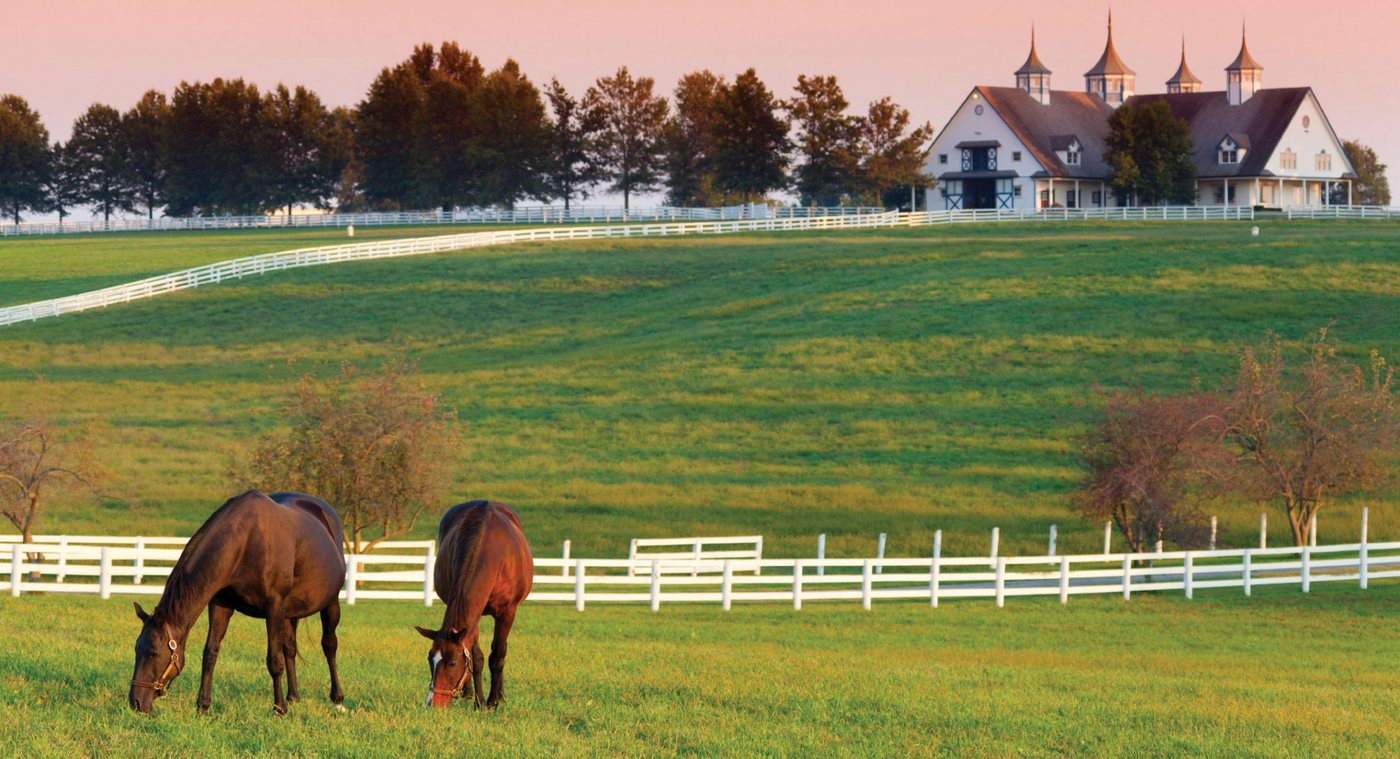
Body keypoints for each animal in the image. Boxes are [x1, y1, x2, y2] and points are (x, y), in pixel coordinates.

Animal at [128, 490, 347, 716]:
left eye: (154, 653)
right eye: (136, 649)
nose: (136, 702)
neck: (245, 543)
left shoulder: (274, 607)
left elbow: (274, 660)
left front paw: (279, 709)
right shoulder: (220, 604)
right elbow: (210, 652)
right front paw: (203, 706)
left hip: (330, 604)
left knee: (329, 645)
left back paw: (337, 699)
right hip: (289, 613)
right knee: (290, 648)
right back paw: (293, 697)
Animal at [415, 500, 533, 709]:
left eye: (452, 663)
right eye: (430, 659)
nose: (432, 703)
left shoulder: (507, 612)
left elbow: (498, 655)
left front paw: (493, 701)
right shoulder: (473, 614)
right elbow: (475, 657)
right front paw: (480, 702)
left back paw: (500, 694)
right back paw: (468, 693)